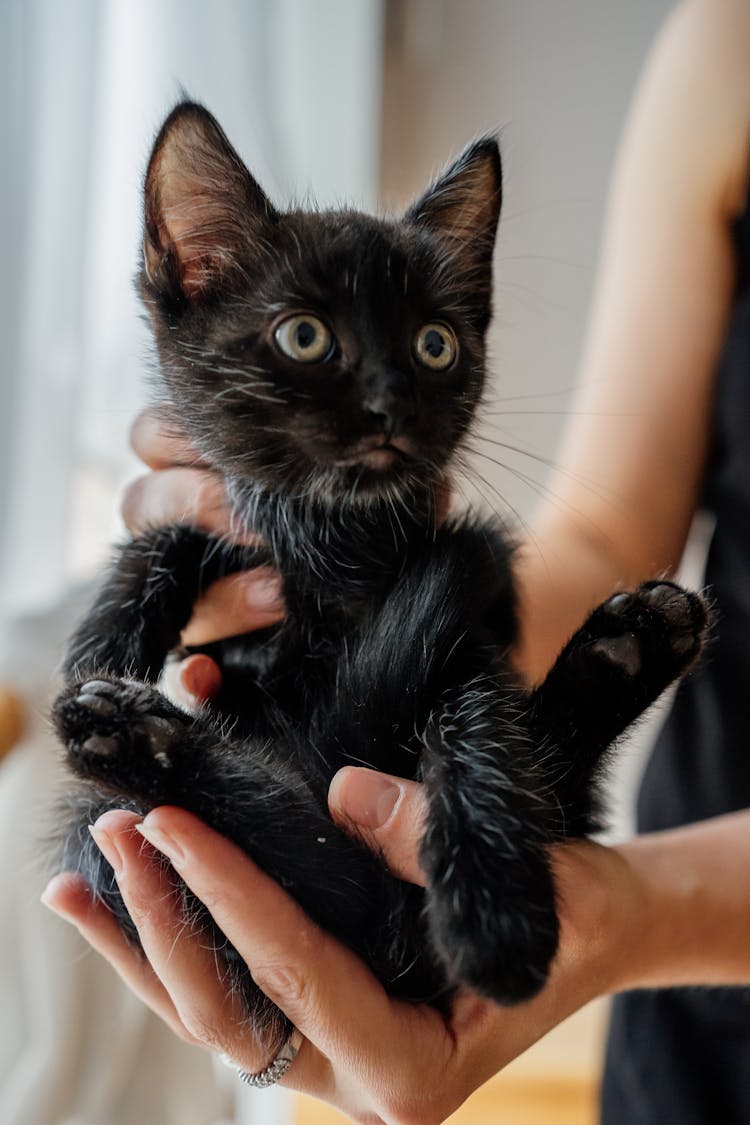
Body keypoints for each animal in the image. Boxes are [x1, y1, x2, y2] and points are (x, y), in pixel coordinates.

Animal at [54, 101, 710, 1048]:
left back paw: (630, 645)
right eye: (304, 336)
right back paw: (131, 730)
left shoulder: (471, 634)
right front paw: (105, 631)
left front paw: (495, 912)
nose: (393, 400)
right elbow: (181, 527)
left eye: (435, 345)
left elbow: (478, 726)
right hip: (98, 828)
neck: (337, 541)